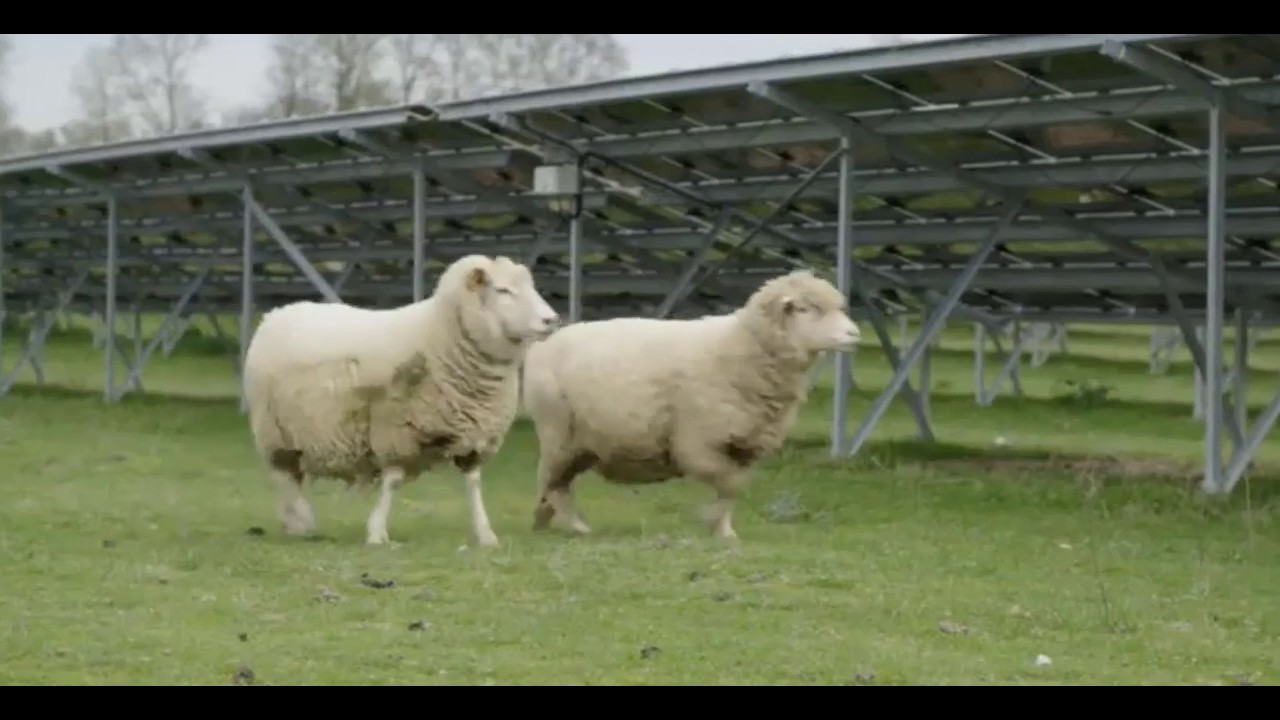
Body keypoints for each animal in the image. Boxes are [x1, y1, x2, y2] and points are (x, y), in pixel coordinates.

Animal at [242, 254, 560, 548]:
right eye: (503, 290)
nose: (551, 320)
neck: (440, 336)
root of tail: (277, 313)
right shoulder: (396, 429)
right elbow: (392, 481)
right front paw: (376, 533)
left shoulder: (473, 433)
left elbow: (473, 484)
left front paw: (485, 535)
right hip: (275, 432)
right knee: (285, 478)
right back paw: (300, 522)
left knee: (291, 477)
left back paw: (292, 522)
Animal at [520, 268, 860, 540]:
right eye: (806, 308)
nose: (855, 334)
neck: (744, 347)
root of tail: (544, 343)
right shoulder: (696, 443)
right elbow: (729, 483)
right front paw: (711, 521)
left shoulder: (741, 446)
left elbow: (734, 488)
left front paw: (724, 530)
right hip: (558, 430)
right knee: (552, 482)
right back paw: (571, 525)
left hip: (584, 441)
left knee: (557, 483)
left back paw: (547, 519)